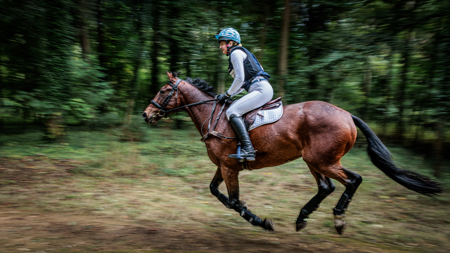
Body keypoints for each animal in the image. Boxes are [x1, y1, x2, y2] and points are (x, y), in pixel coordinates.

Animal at [143, 72, 442, 234]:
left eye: (164, 90)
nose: (146, 114)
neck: (213, 117)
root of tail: (347, 115)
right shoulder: (223, 166)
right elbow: (218, 194)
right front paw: (255, 215)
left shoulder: (229, 167)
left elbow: (234, 202)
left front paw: (261, 222)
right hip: (314, 160)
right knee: (327, 186)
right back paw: (302, 218)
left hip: (323, 160)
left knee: (352, 180)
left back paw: (338, 219)